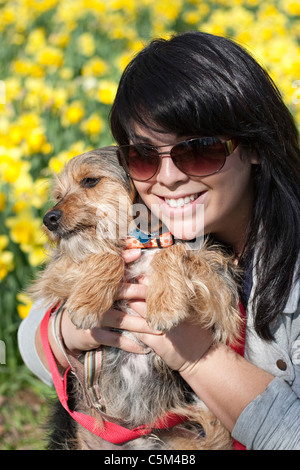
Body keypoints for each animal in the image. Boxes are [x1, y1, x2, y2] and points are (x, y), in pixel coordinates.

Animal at [29, 147, 241, 452]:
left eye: (90, 181)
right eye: (58, 195)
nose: (48, 219)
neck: (141, 240)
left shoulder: (222, 295)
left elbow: (174, 251)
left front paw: (165, 305)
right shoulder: (55, 273)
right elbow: (105, 253)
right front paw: (86, 303)